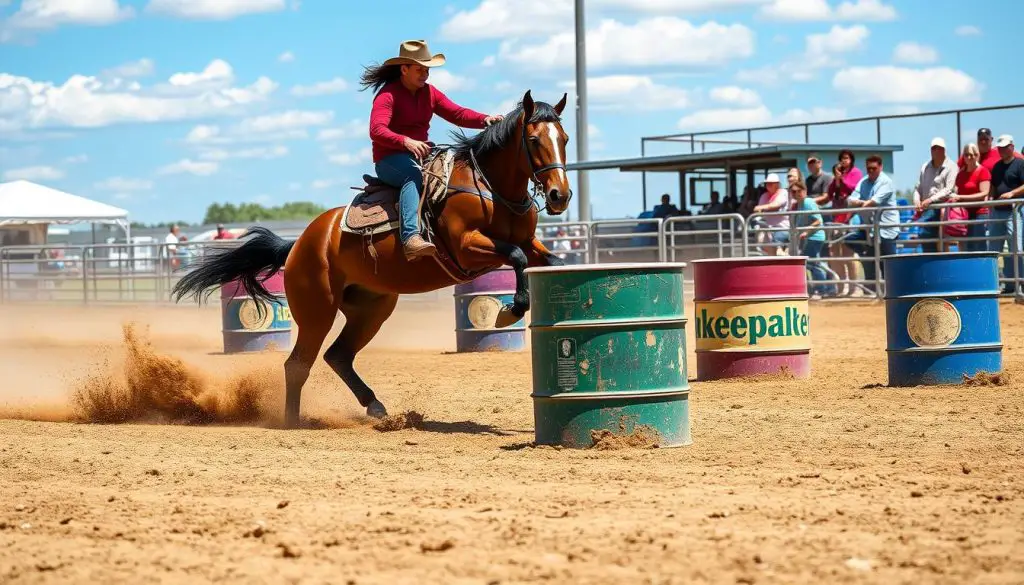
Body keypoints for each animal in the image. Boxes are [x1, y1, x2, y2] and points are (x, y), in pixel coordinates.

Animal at [172, 91, 573, 428]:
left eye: (565, 139)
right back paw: (292, 422)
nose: (560, 196)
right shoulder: (467, 247)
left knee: (338, 355)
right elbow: (515, 257)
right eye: (534, 140)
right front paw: (510, 311)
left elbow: (547, 261)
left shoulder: (528, 242)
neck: (490, 188)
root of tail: (300, 243)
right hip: (317, 310)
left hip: (371, 308)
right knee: (297, 364)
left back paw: (375, 406)